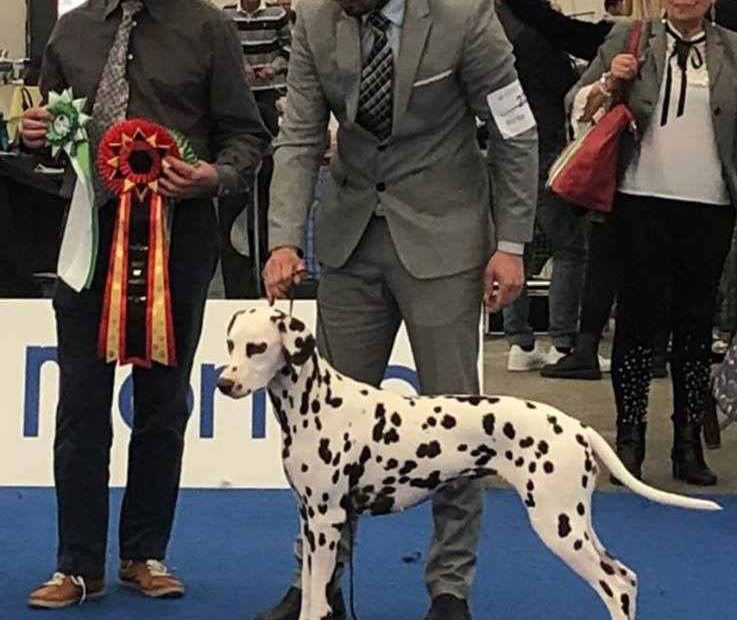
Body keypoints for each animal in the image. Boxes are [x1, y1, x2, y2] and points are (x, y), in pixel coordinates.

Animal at [217, 307, 721, 620]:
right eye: (230, 343)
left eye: (257, 347)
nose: (223, 383)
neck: (317, 403)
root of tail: (576, 426)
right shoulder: (310, 520)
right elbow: (310, 595)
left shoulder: (327, 521)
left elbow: (316, 604)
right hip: (575, 521)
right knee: (626, 578)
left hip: (558, 525)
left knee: (615, 584)